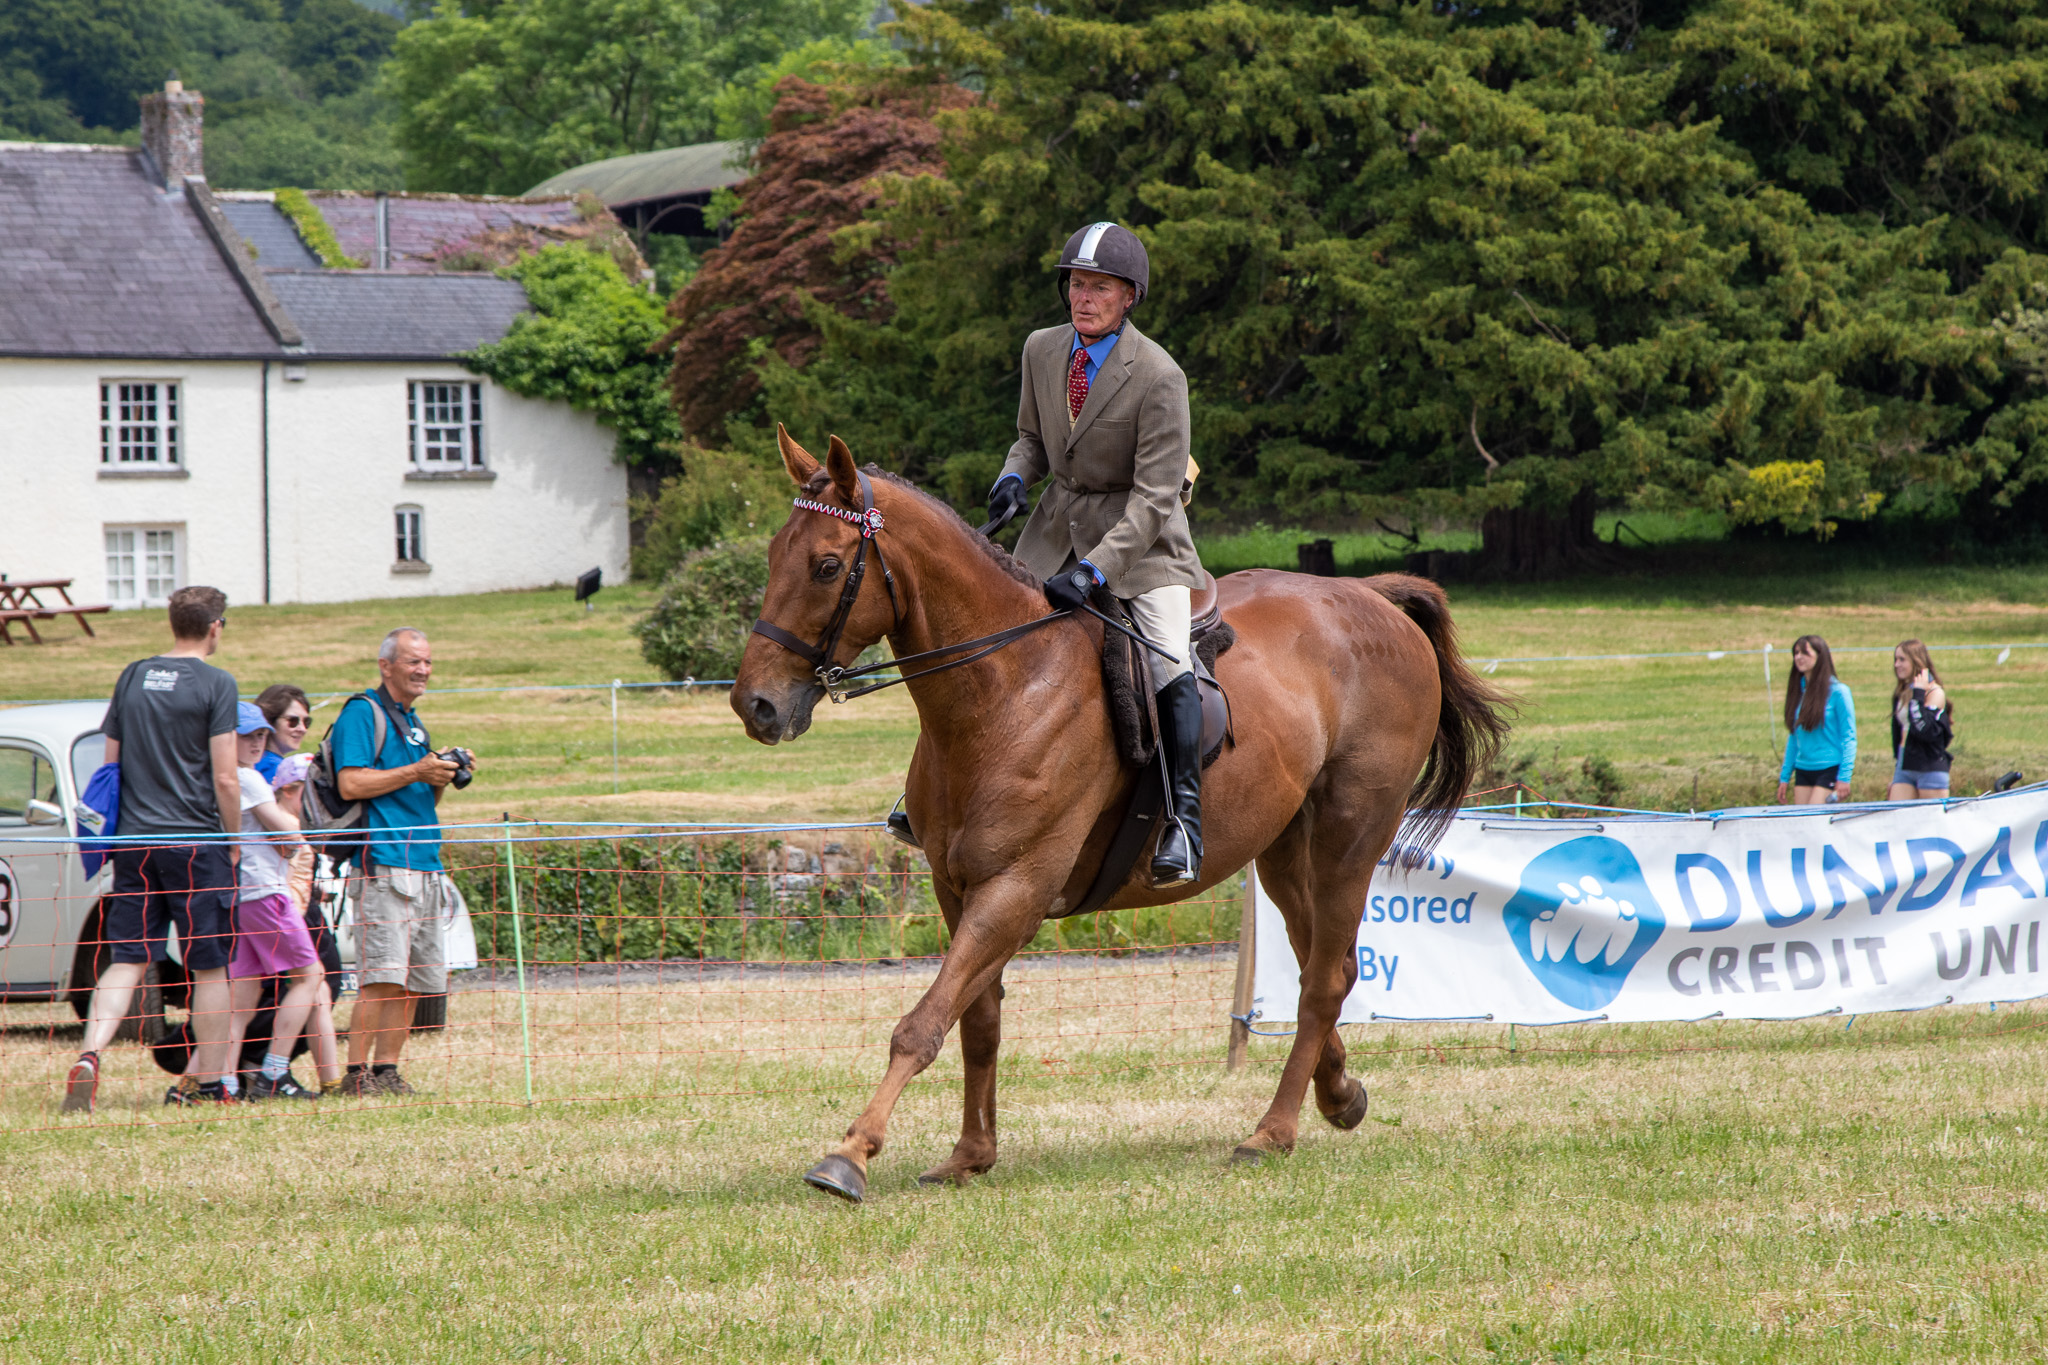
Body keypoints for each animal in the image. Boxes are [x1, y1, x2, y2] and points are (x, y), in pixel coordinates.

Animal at [732, 428, 1511, 1201]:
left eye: (828, 566)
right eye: (772, 556)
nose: (756, 706)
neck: (1000, 688)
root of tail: (1368, 597)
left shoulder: (1016, 887)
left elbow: (924, 1022)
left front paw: (850, 1154)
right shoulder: (957, 888)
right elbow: (975, 1017)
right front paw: (970, 1153)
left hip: (1351, 834)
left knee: (1322, 981)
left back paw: (1271, 1132)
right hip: (1285, 847)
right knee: (1328, 961)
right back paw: (1340, 1095)